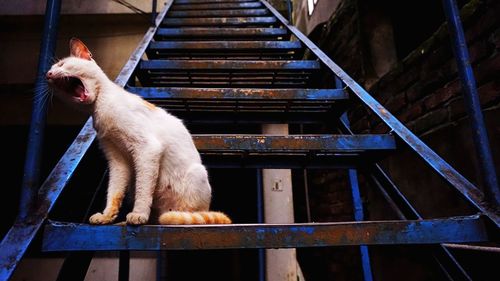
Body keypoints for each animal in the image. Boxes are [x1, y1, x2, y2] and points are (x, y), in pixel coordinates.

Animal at [46, 37, 231, 225]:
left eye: (61, 64)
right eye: (49, 73)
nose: (48, 75)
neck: (99, 108)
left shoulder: (147, 148)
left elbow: (144, 189)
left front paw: (138, 214)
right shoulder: (117, 159)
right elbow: (114, 191)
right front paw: (107, 216)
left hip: (196, 175)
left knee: (187, 215)